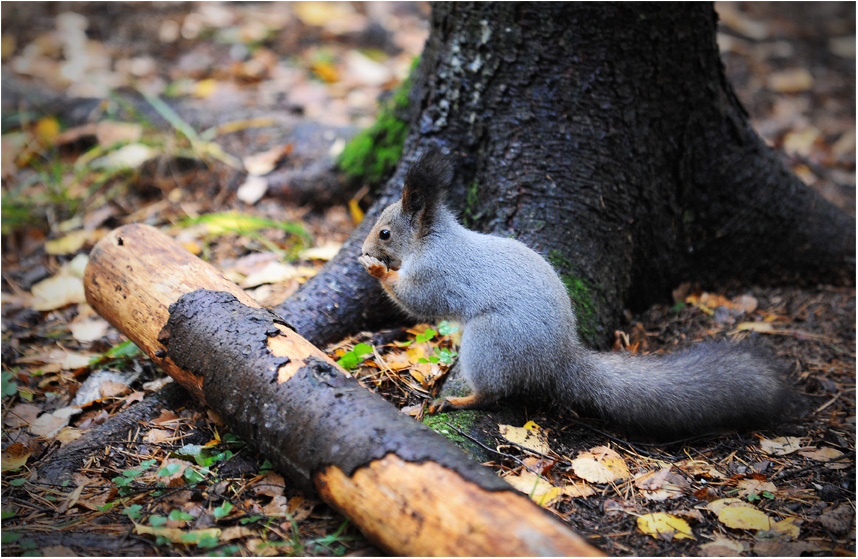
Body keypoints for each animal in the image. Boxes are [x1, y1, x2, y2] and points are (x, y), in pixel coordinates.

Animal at [354, 151, 788, 440]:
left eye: (385, 233)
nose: (365, 247)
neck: (430, 240)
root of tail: (559, 361)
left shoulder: (437, 272)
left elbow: (420, 302)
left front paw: (377, 270)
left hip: (491, 342)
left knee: (493, 392)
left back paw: (459, 401)